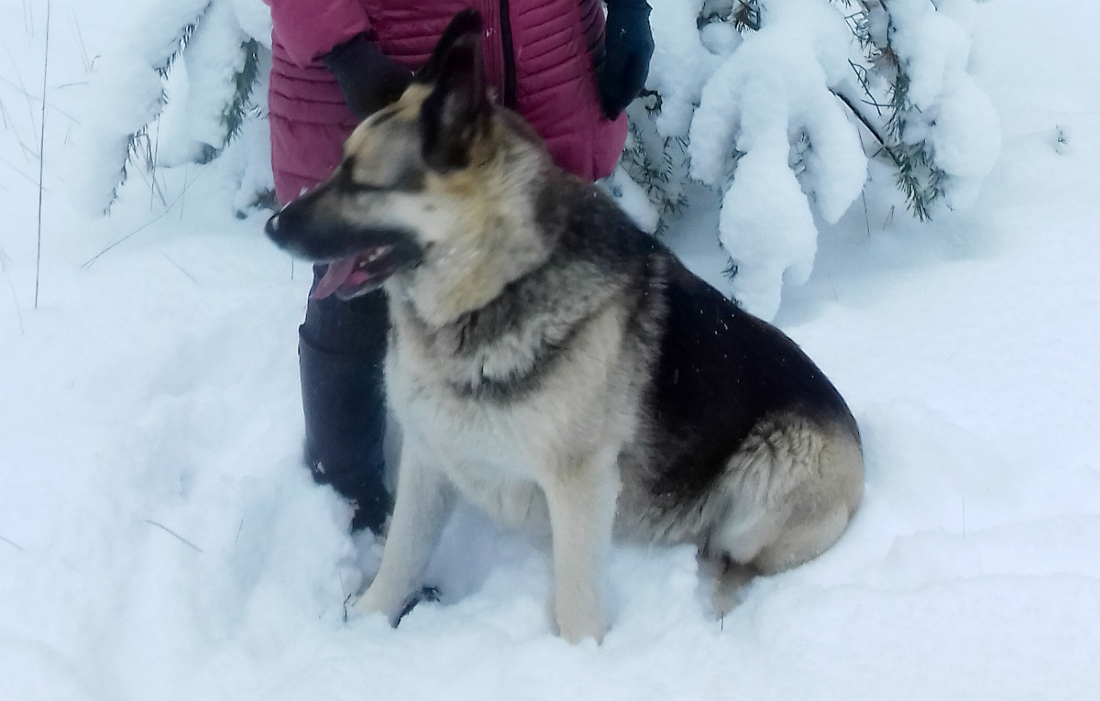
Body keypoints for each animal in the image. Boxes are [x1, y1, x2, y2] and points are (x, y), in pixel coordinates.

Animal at [264, 12, 858, 647]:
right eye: (337, 165)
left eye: (362, 184)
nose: (272, 226)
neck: (497, 285)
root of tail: (857, 444)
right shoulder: (428, 461)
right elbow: (401, 558)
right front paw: (368, 622)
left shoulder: (579, 485)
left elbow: (576, 604)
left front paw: (582, 657)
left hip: (762, 487)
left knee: (737, 560)